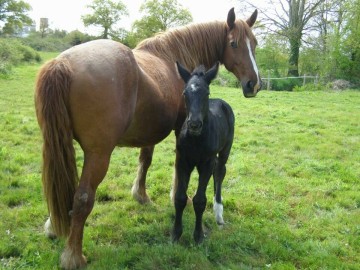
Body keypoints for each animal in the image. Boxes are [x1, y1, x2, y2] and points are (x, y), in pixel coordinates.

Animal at [172, 62, 235, 244]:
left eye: (206, 93)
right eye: (185, 93)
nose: (194, 124)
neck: (195, 140)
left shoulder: (206, 163)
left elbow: (200, 200)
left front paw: (198, 235)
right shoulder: (182, 161)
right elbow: (180, 197)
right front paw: (176, 233)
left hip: (225, 150)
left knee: (220, 171)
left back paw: (218, 211)